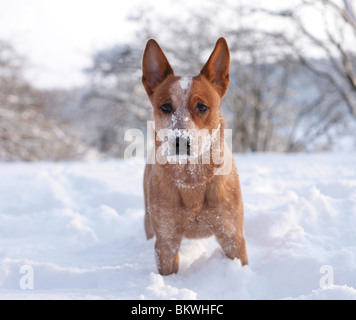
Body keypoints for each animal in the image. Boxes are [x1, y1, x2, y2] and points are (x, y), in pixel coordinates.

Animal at [142, 37, 248, 276]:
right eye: (166, 106)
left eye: (202, 106)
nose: (180, 141)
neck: (192, 180)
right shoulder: (166, 240)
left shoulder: (232, 235)